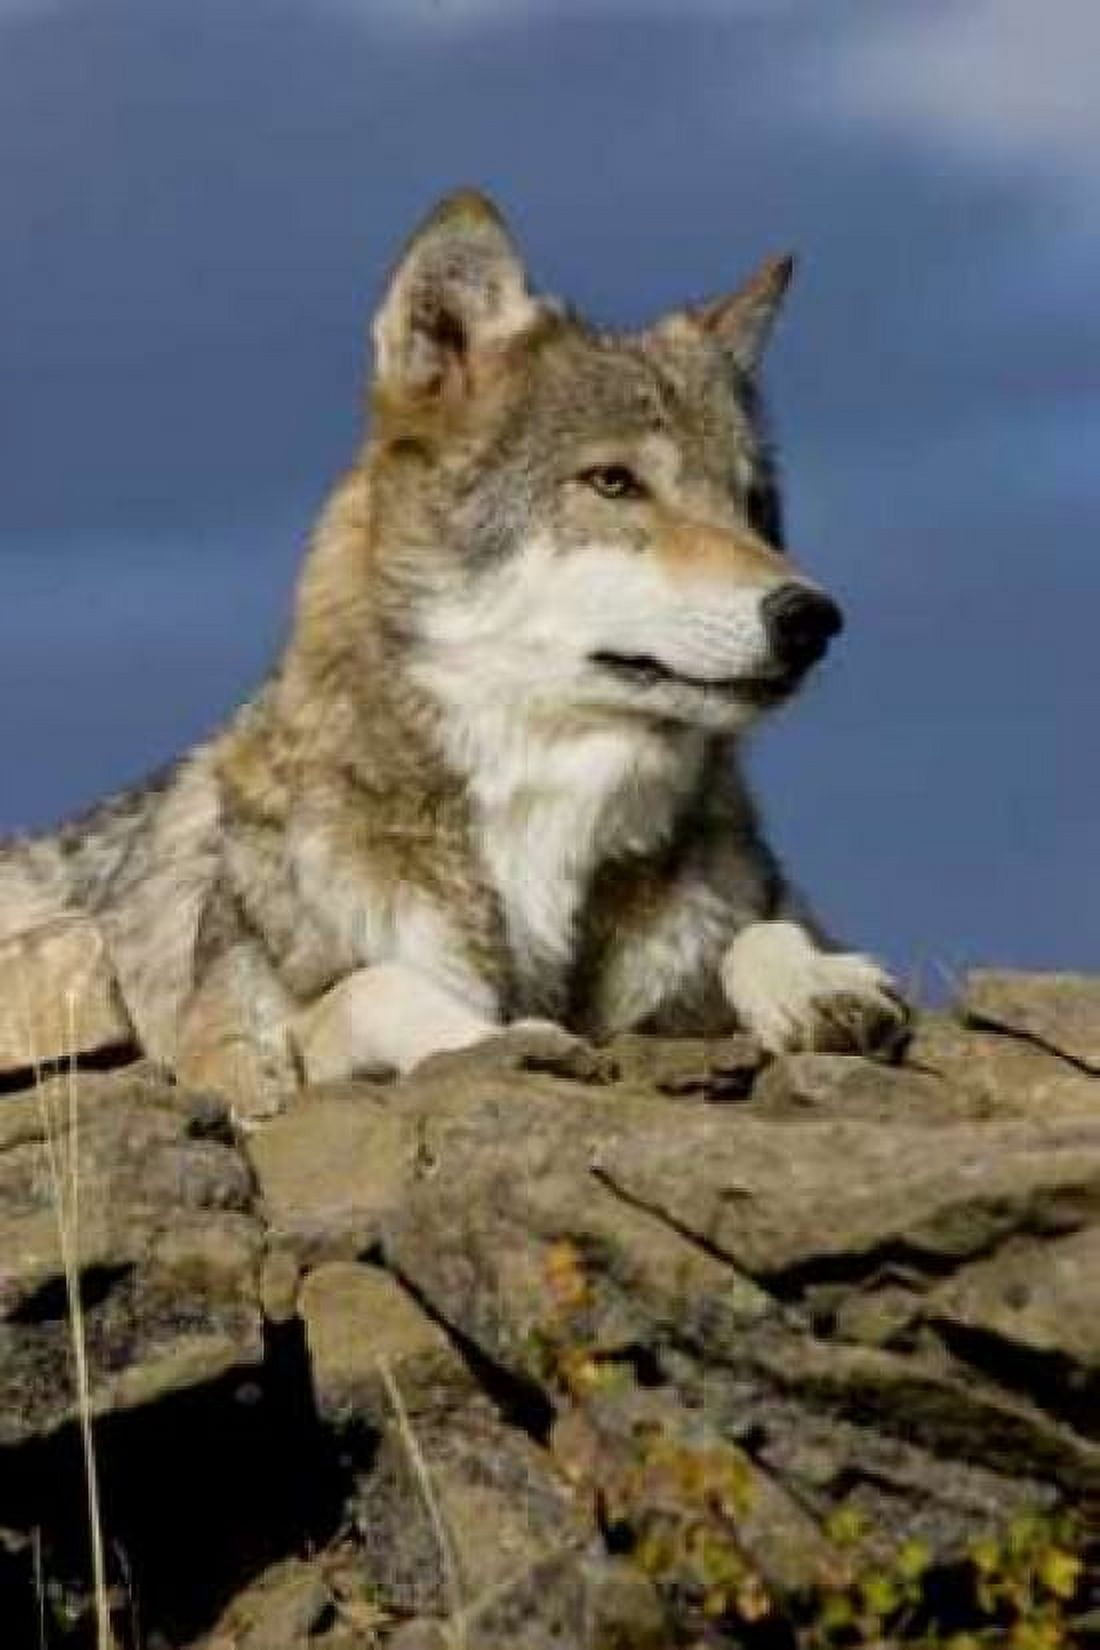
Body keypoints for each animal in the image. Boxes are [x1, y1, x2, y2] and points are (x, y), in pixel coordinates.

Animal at [0, 191, 907, 1112]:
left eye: (754, 505)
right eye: (613, 482)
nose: (812, 617)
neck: (545, 816)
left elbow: (763, 928)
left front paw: (820, 984)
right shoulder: (226, 1059)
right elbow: (374, 989)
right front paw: (500, 1037)